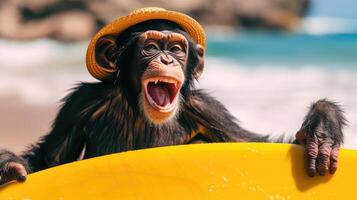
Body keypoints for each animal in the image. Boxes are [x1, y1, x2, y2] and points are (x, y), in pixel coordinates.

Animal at [0, 7, 344, 186]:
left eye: (176, 49)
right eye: (151, 47)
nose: (166, 59)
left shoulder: (209, 111)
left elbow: (252, 142)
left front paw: (321, 128)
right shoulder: (80, 104)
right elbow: (52, 158)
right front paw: (9, 166)